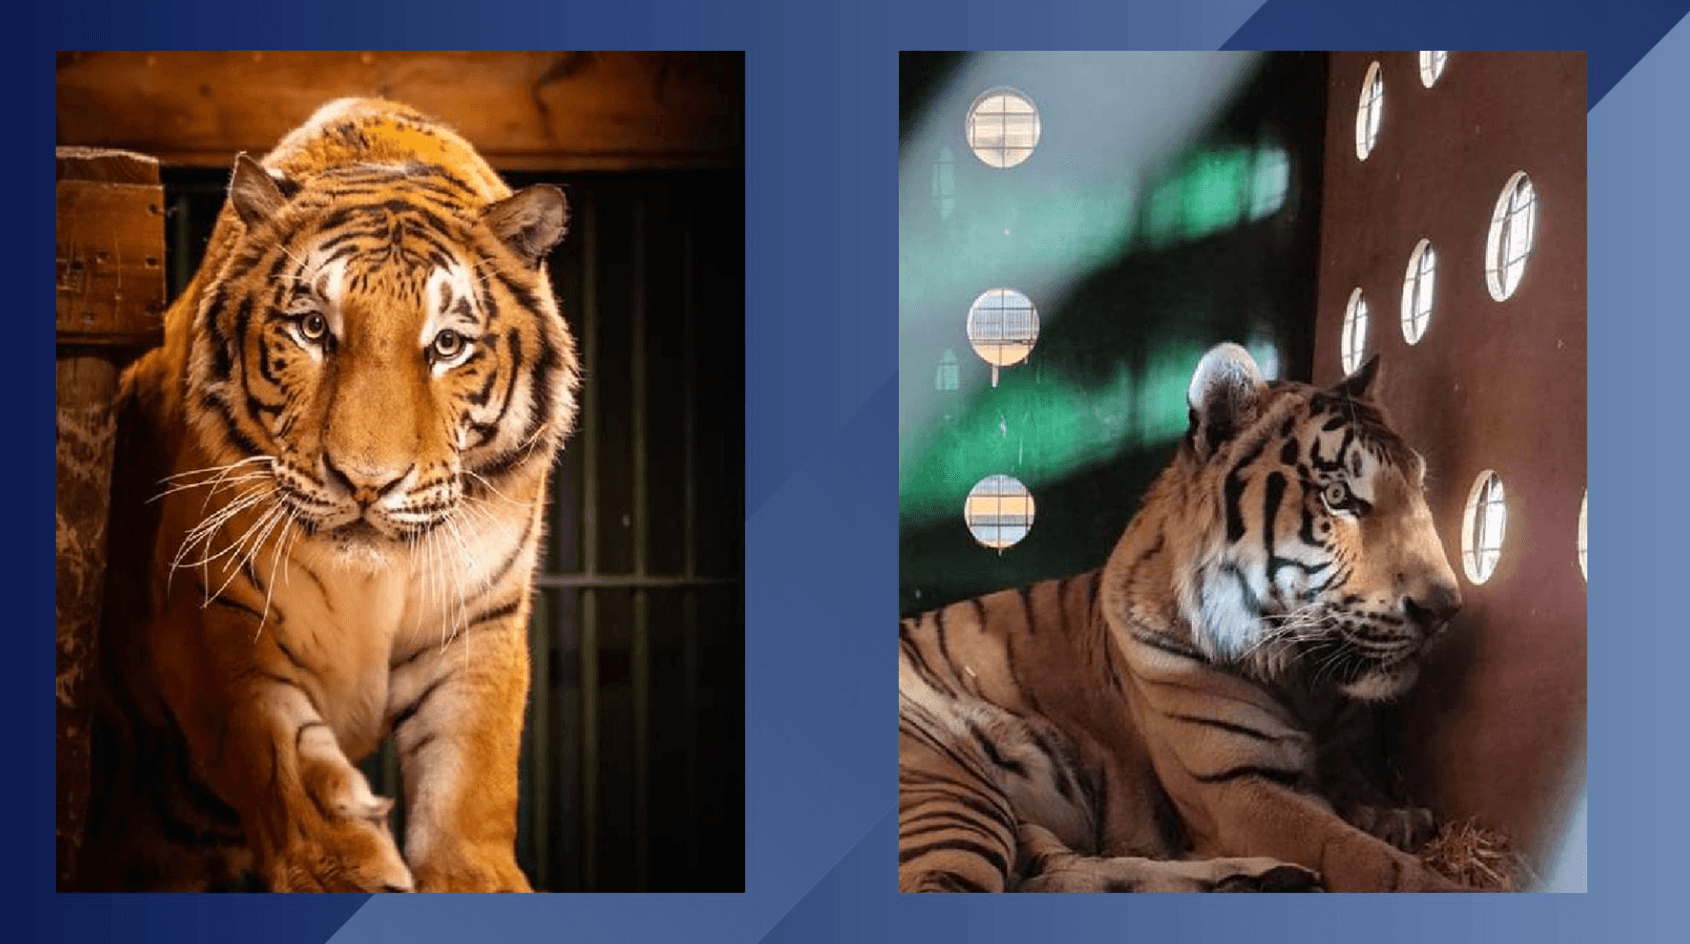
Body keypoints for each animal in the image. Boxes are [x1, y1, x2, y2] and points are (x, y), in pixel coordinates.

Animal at [74, 98, 577, 892]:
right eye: (313, 328)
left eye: (447, 345)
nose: (367, 481)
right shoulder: (208, 606)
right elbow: (275, 748)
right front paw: (340, 867)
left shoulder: (477, 618)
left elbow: (473, 773)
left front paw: (476, 878)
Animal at [898, 342, 1473, 892]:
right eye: (1337, 497)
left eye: (1418, 488)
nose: (1446, 609)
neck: (1304, 684)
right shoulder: (1238, 788)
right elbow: (1372, 861)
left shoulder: (1341, 747)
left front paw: (1397, 818)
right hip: (954, 792)